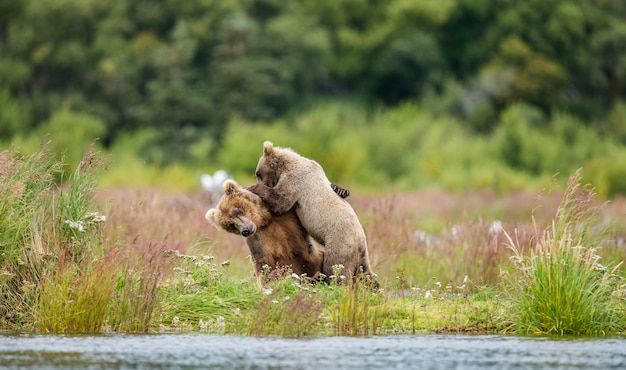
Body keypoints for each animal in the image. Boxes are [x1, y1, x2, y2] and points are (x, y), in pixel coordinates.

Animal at [207, 180, 338, 280]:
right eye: (230, 225)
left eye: (237, 211)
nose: (245, 230)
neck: (266, 220)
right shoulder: (258, 240)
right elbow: (263, 263)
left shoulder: (288, 216)